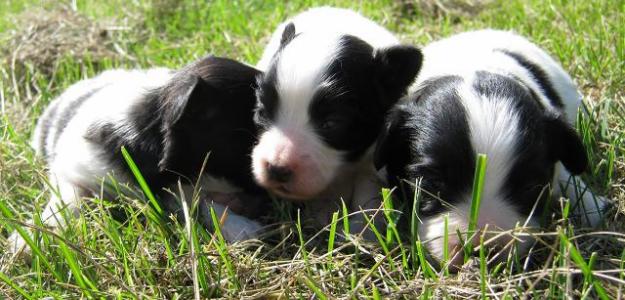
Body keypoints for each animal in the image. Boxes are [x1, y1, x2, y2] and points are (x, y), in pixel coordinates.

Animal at [251, 6, 422, 232]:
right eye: (262, 112)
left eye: (331, 124)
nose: (276, 169)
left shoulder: (371, 164)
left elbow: (368, 196)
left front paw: (365, 228)